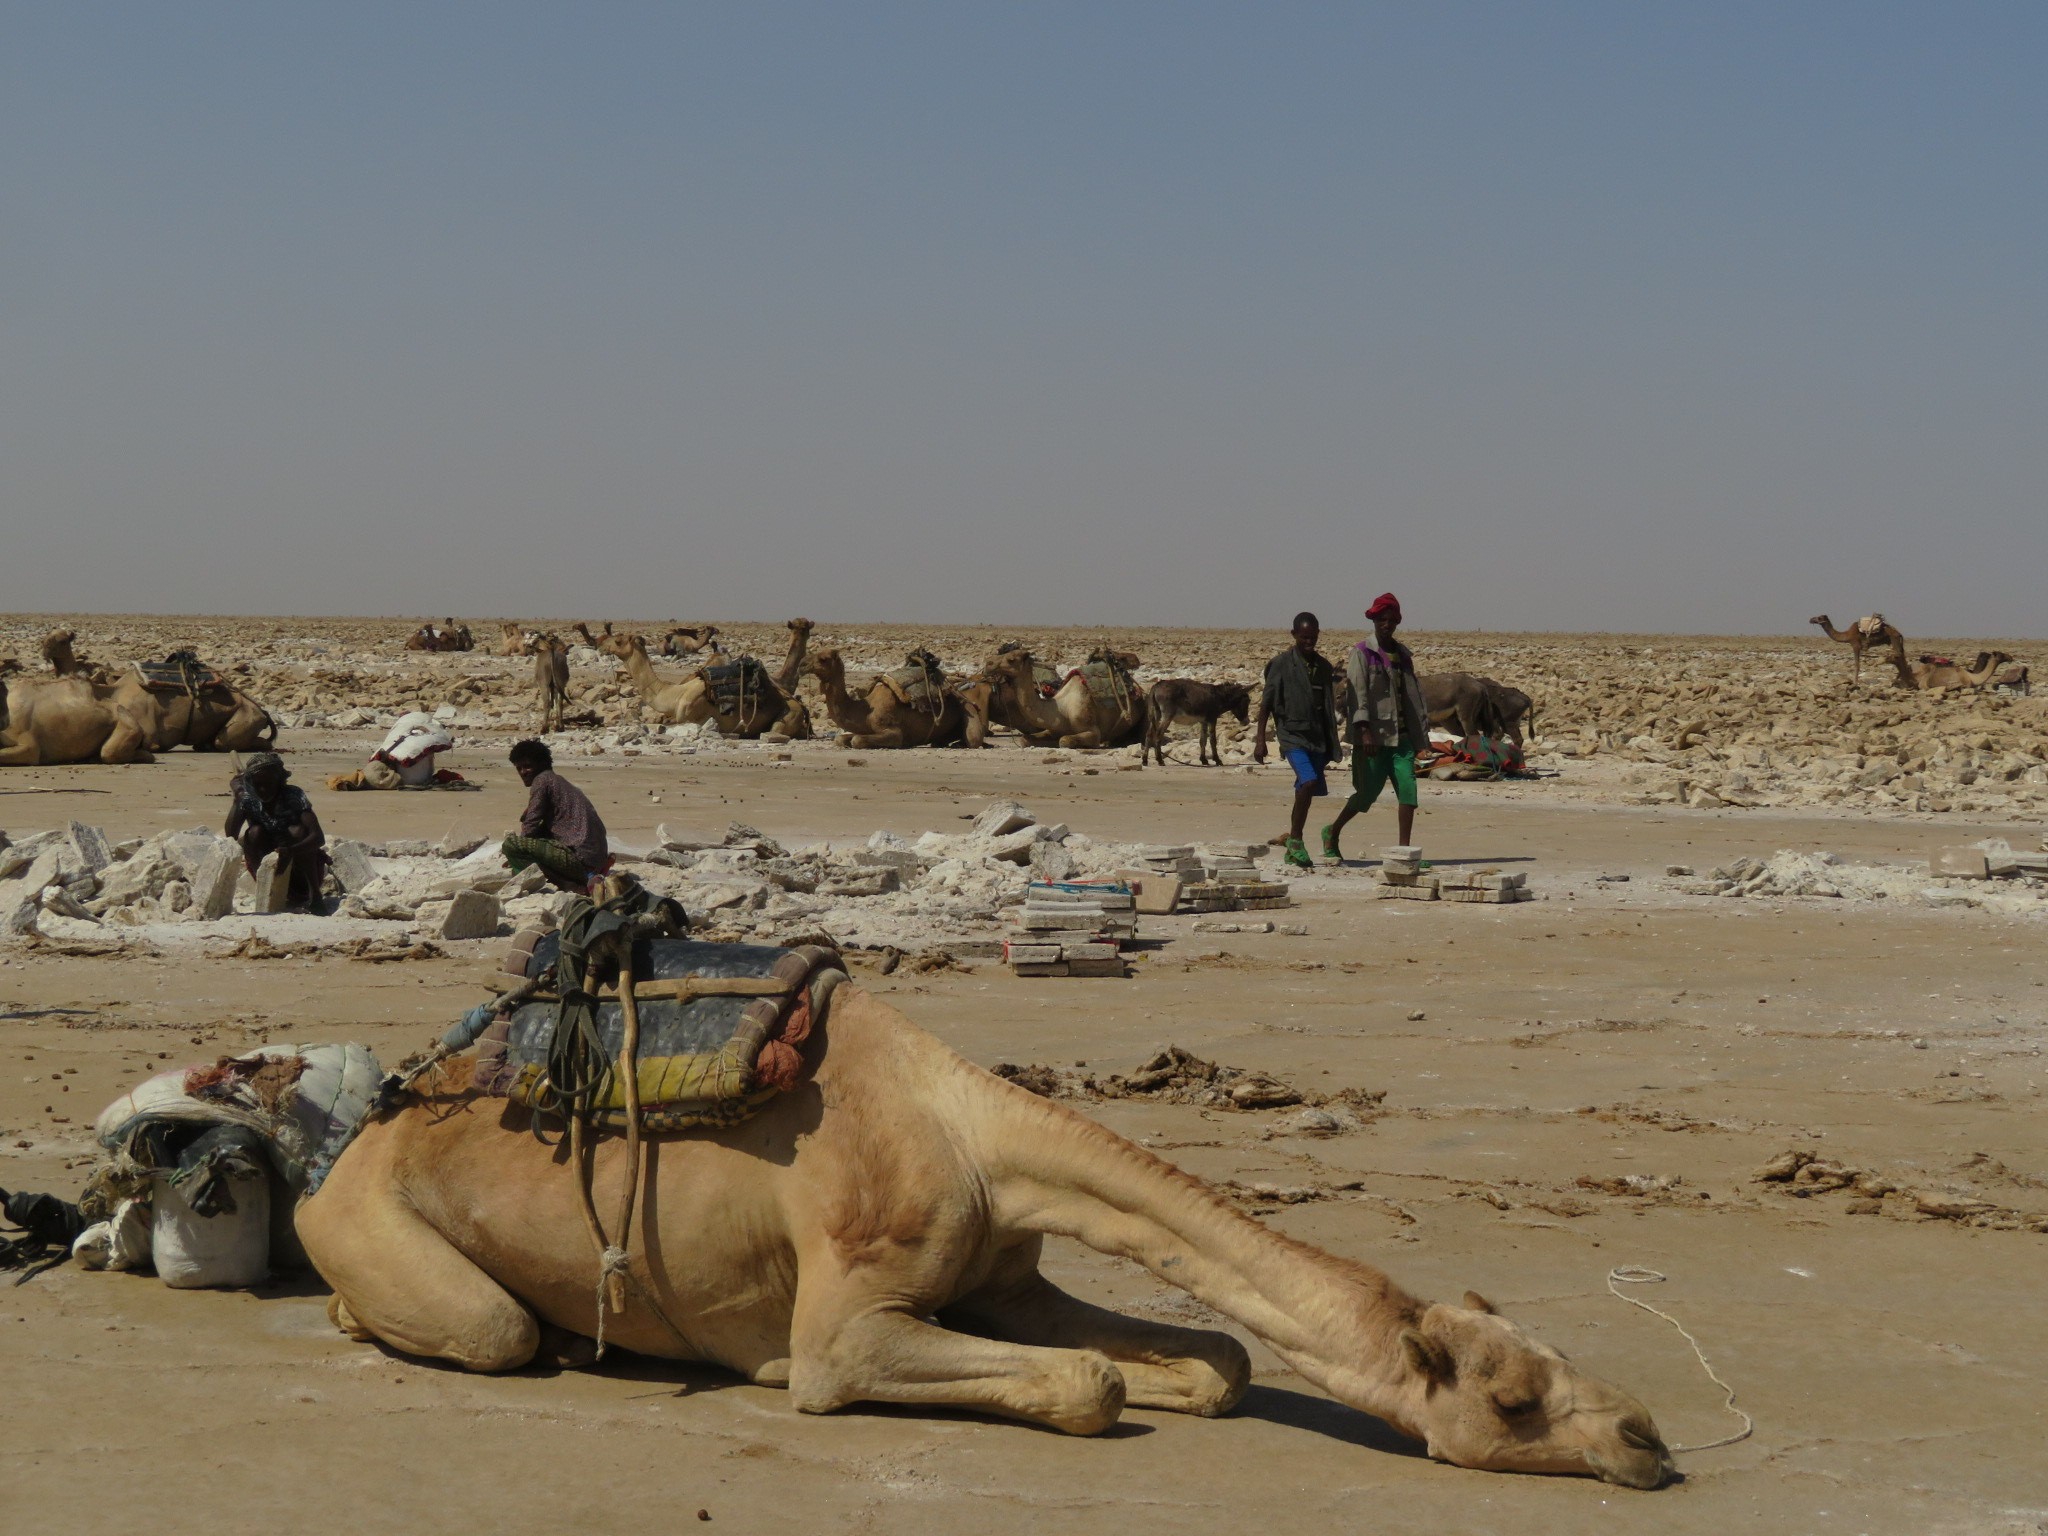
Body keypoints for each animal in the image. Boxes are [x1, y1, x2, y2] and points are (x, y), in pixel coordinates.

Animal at [303, 987, 1679, 1490]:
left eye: (1555, 1358)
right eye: (1508, 1402)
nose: (1648, 1438)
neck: (973, 1133)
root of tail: (350, 1149)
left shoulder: (1003, 1277)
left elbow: (1218, 1365)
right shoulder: (848, 1325)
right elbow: (1084, 1382)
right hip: (382, 1230)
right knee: (490, 1326)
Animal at [806, 647, 966, 749]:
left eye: (823, 659)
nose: (803, 664)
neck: (866, 711)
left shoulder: (893, 731)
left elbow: (857, 740)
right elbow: (840, 739)